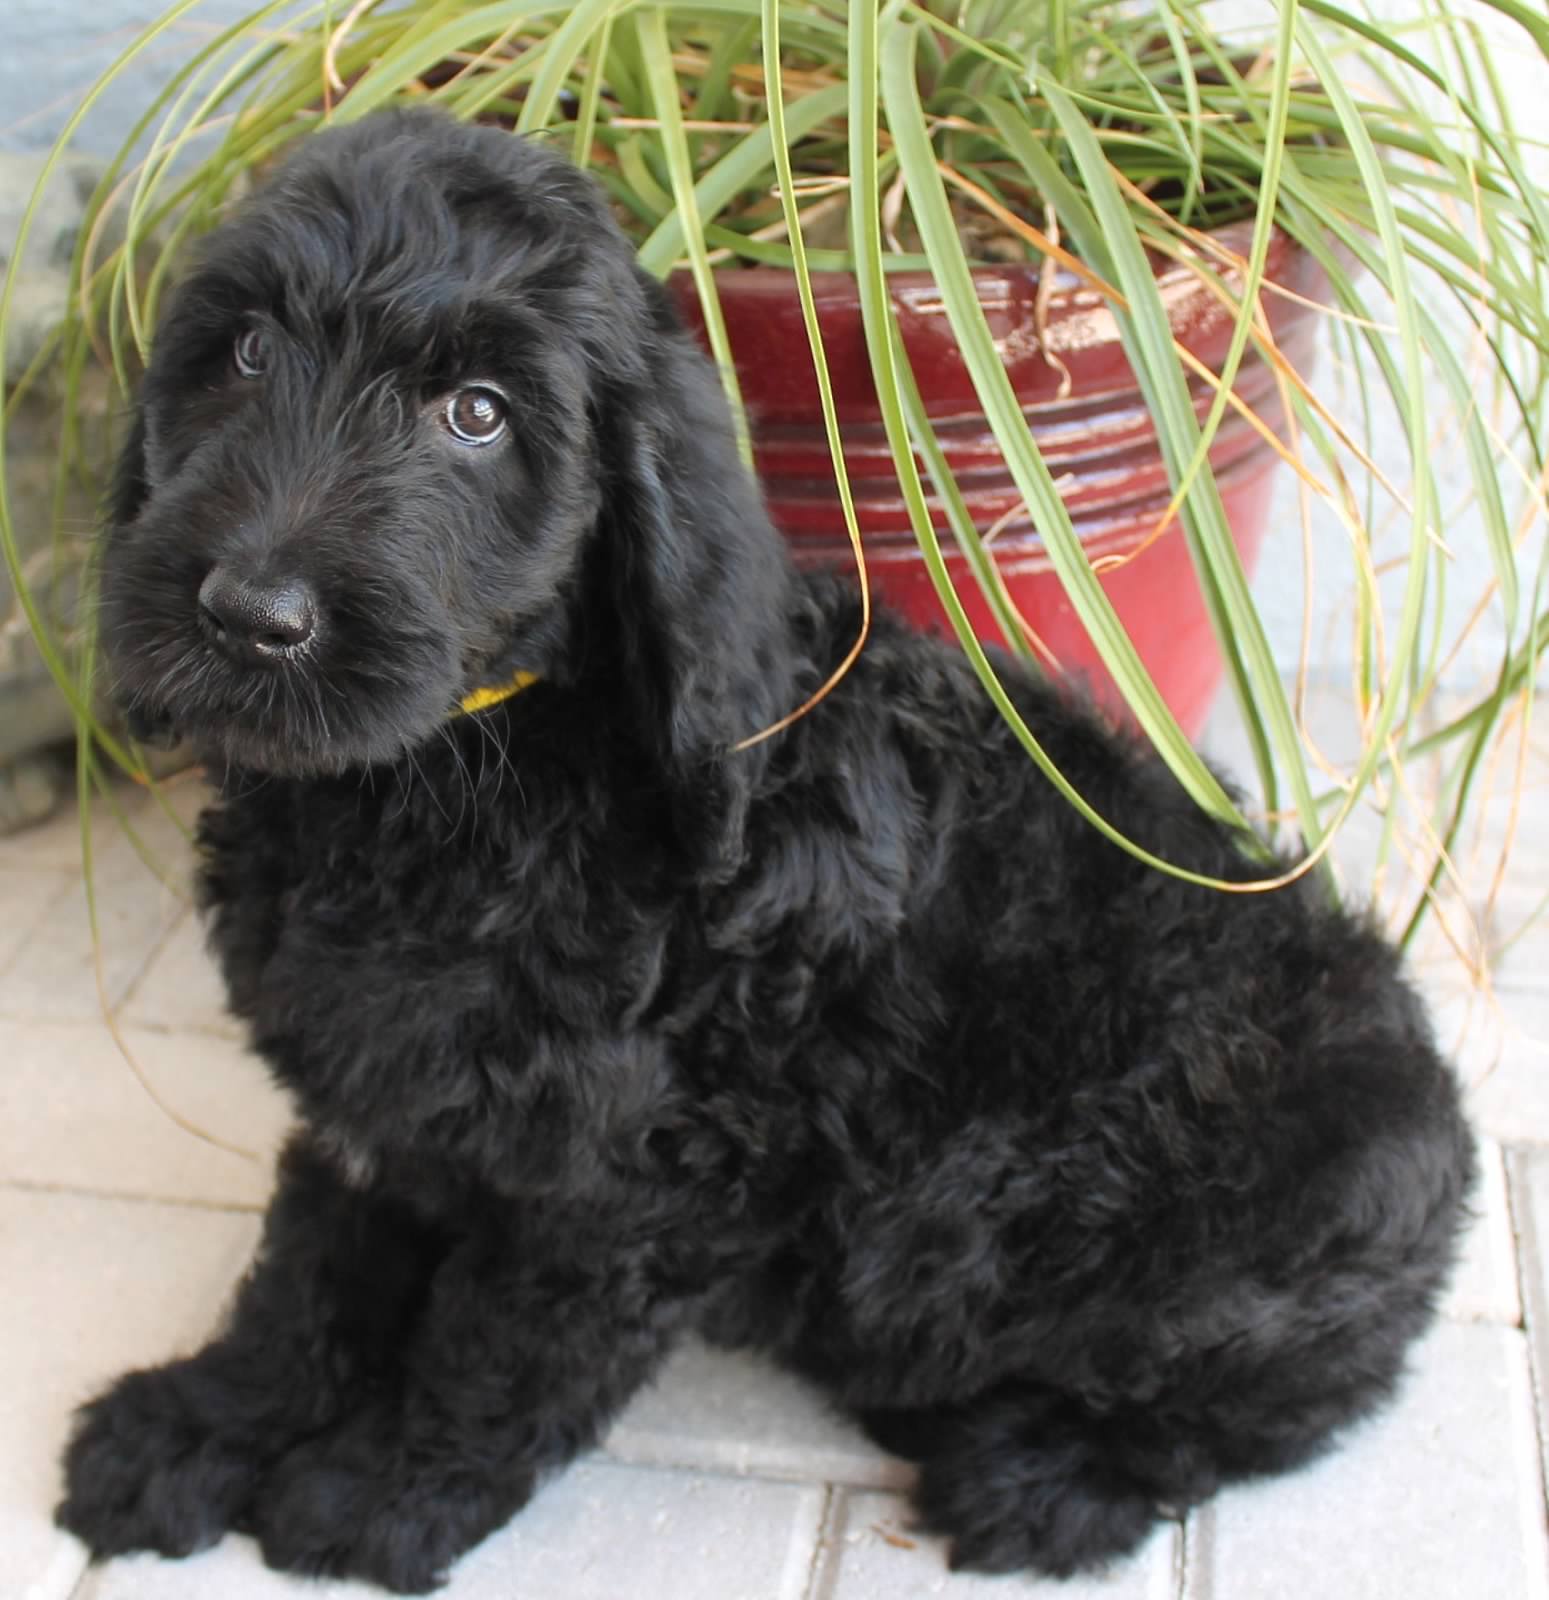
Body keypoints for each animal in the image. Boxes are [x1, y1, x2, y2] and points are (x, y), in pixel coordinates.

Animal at [60, 109, 1478, 1587]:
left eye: (477, 415)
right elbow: (309, 1264)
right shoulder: (369, 1102)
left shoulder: (631, 1180)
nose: (246, 612)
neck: (457, 773)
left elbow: (502, 1340)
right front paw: (200, 1420)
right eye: (244, 353)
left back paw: (1045, 1475)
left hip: (1237, 1211)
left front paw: (385, 1483)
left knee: (1264, 1403)